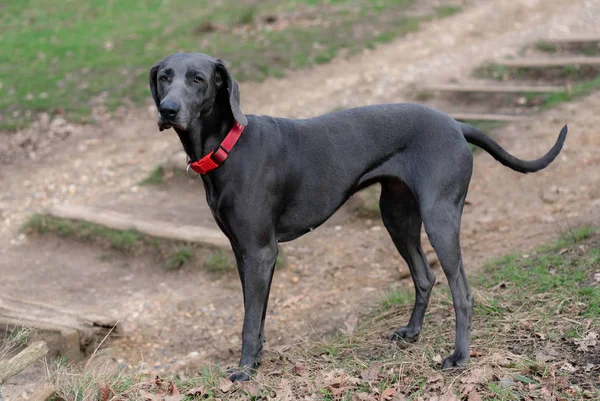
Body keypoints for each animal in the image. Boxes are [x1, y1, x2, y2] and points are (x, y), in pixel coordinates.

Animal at [149, 53, 568, 382]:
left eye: (199, 79)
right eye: (164, 76)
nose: (167, 110)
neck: (229, 146)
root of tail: (455, 123)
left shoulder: (260, 251)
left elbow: (250, 321)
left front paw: (244, 371)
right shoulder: (243, 252)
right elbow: (260, 314)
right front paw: (257, 363)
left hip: (440, 218)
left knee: (461, 290)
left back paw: (459, 357)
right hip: (397, 217)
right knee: (424, 276)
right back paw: (412, 332)